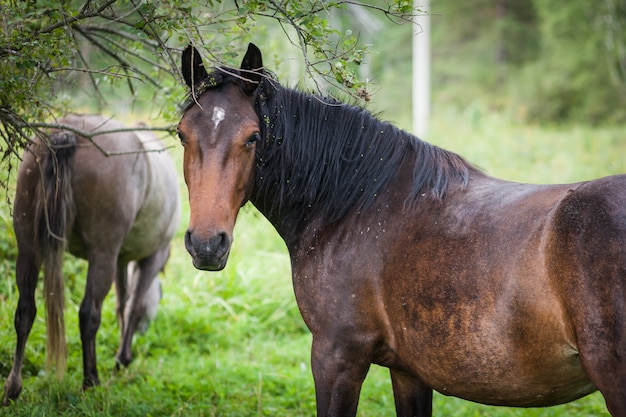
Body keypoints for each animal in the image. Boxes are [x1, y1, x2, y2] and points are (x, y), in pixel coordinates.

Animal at [3, 114, 180, 404]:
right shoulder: (151, 258)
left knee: (25, 310)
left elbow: (122, 302)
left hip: (28, 245)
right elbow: (132, 306)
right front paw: (122, 359)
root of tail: (68, 133)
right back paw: (90, 381)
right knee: (89, 313)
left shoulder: (121, 260)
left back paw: (13, 388)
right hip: (102, 255)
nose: (145, 331)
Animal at [174, 44, 624, 414]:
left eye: (252, 137)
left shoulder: (337, 356)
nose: (207, 244)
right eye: (181, 135)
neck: (356, 205)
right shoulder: (409, 372)